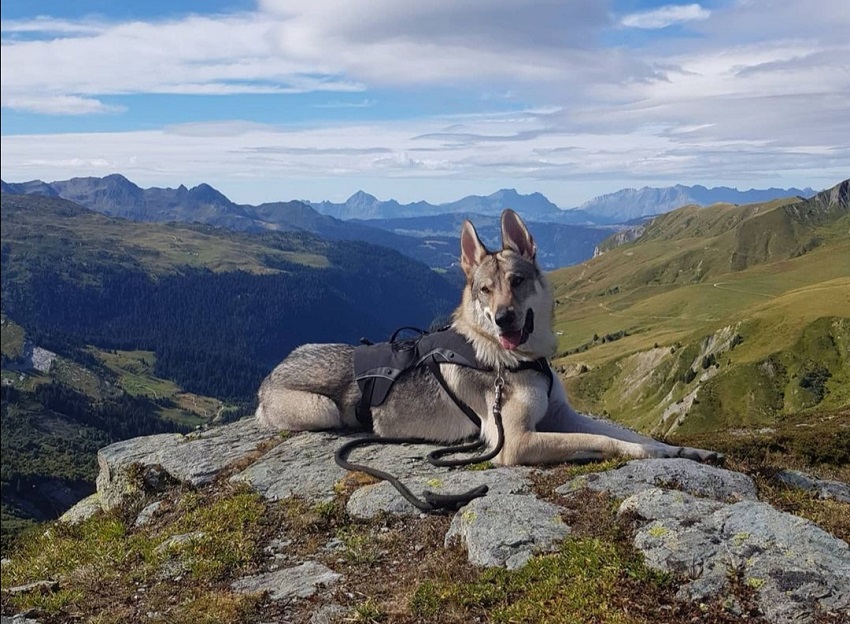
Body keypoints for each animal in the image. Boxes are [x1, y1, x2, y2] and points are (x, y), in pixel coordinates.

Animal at [255, 212, 720, 466]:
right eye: (484, 290)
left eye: (517, 282)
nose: (503, 318)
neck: (521, 360)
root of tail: (270, 374)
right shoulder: (514, 441)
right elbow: (606, 441)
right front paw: (649, 455)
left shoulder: (561, 415)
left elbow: (632, 436)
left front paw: (683, 453)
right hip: (322, 411)